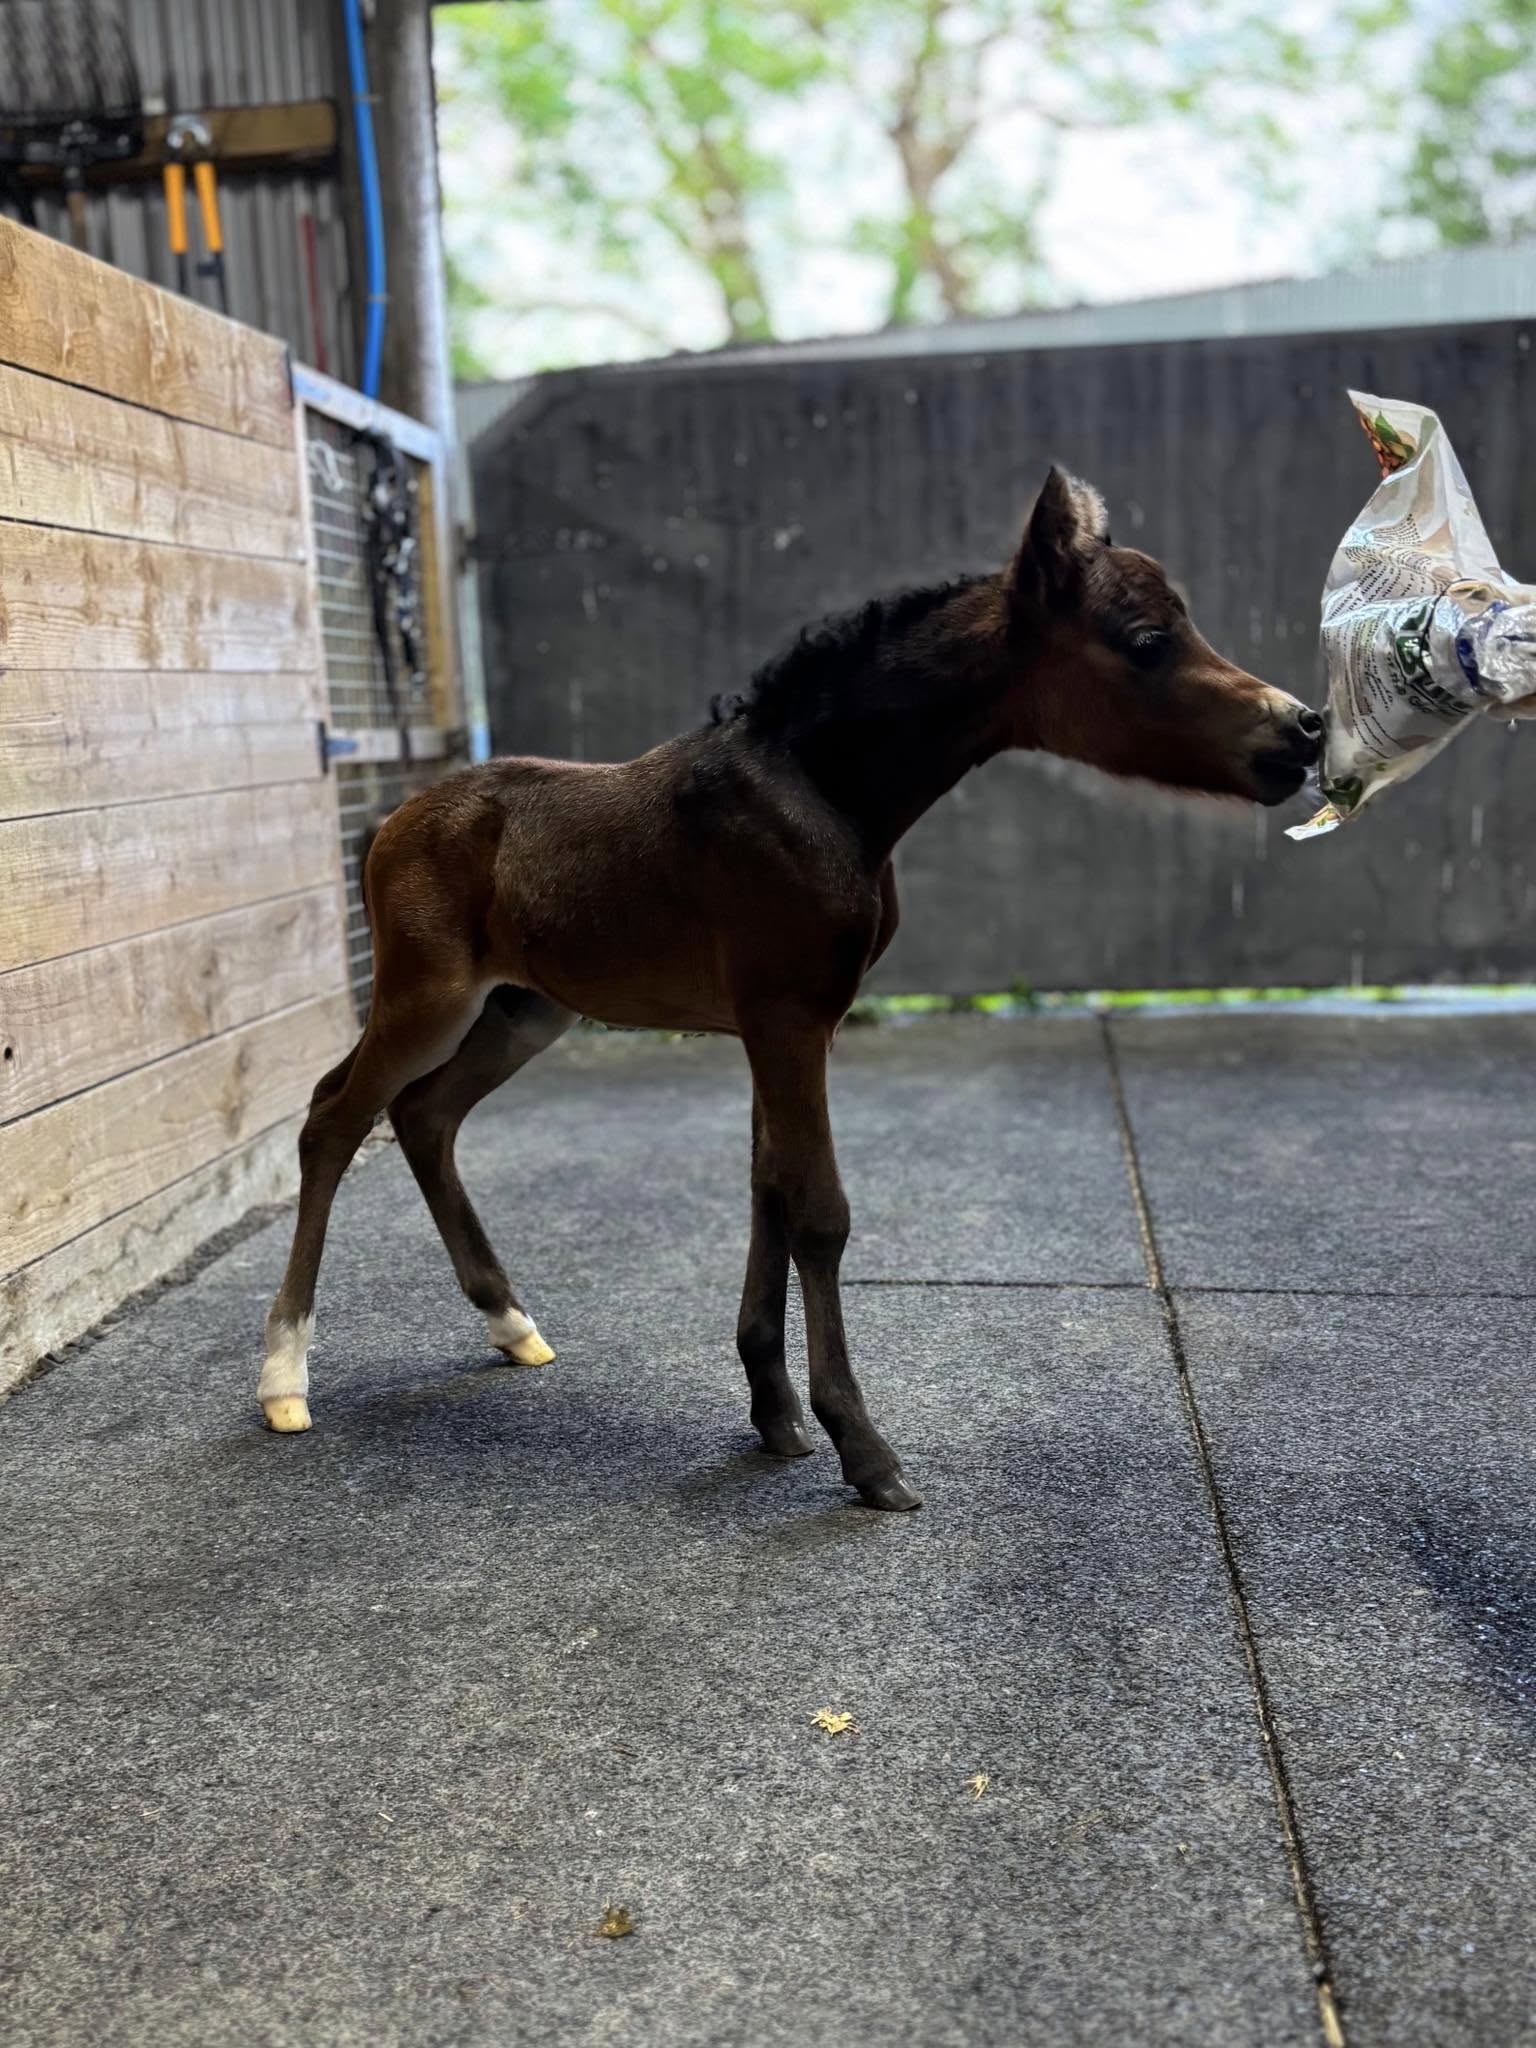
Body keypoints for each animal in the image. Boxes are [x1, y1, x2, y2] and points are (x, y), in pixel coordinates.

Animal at [257, 467, 1322, 1510]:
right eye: (1146, 641)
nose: (1302, 730)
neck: (822, 790)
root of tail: (392, 824)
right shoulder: (786, 1018)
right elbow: (817, 1209)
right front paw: (864, 1447)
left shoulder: (786, 1025)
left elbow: (767, 1187)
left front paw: (774, 1412)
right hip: (428, 998)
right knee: (333, 1117)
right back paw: (284, 1374)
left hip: (525, 1009)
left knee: (426, 1117)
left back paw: (510, 1324)